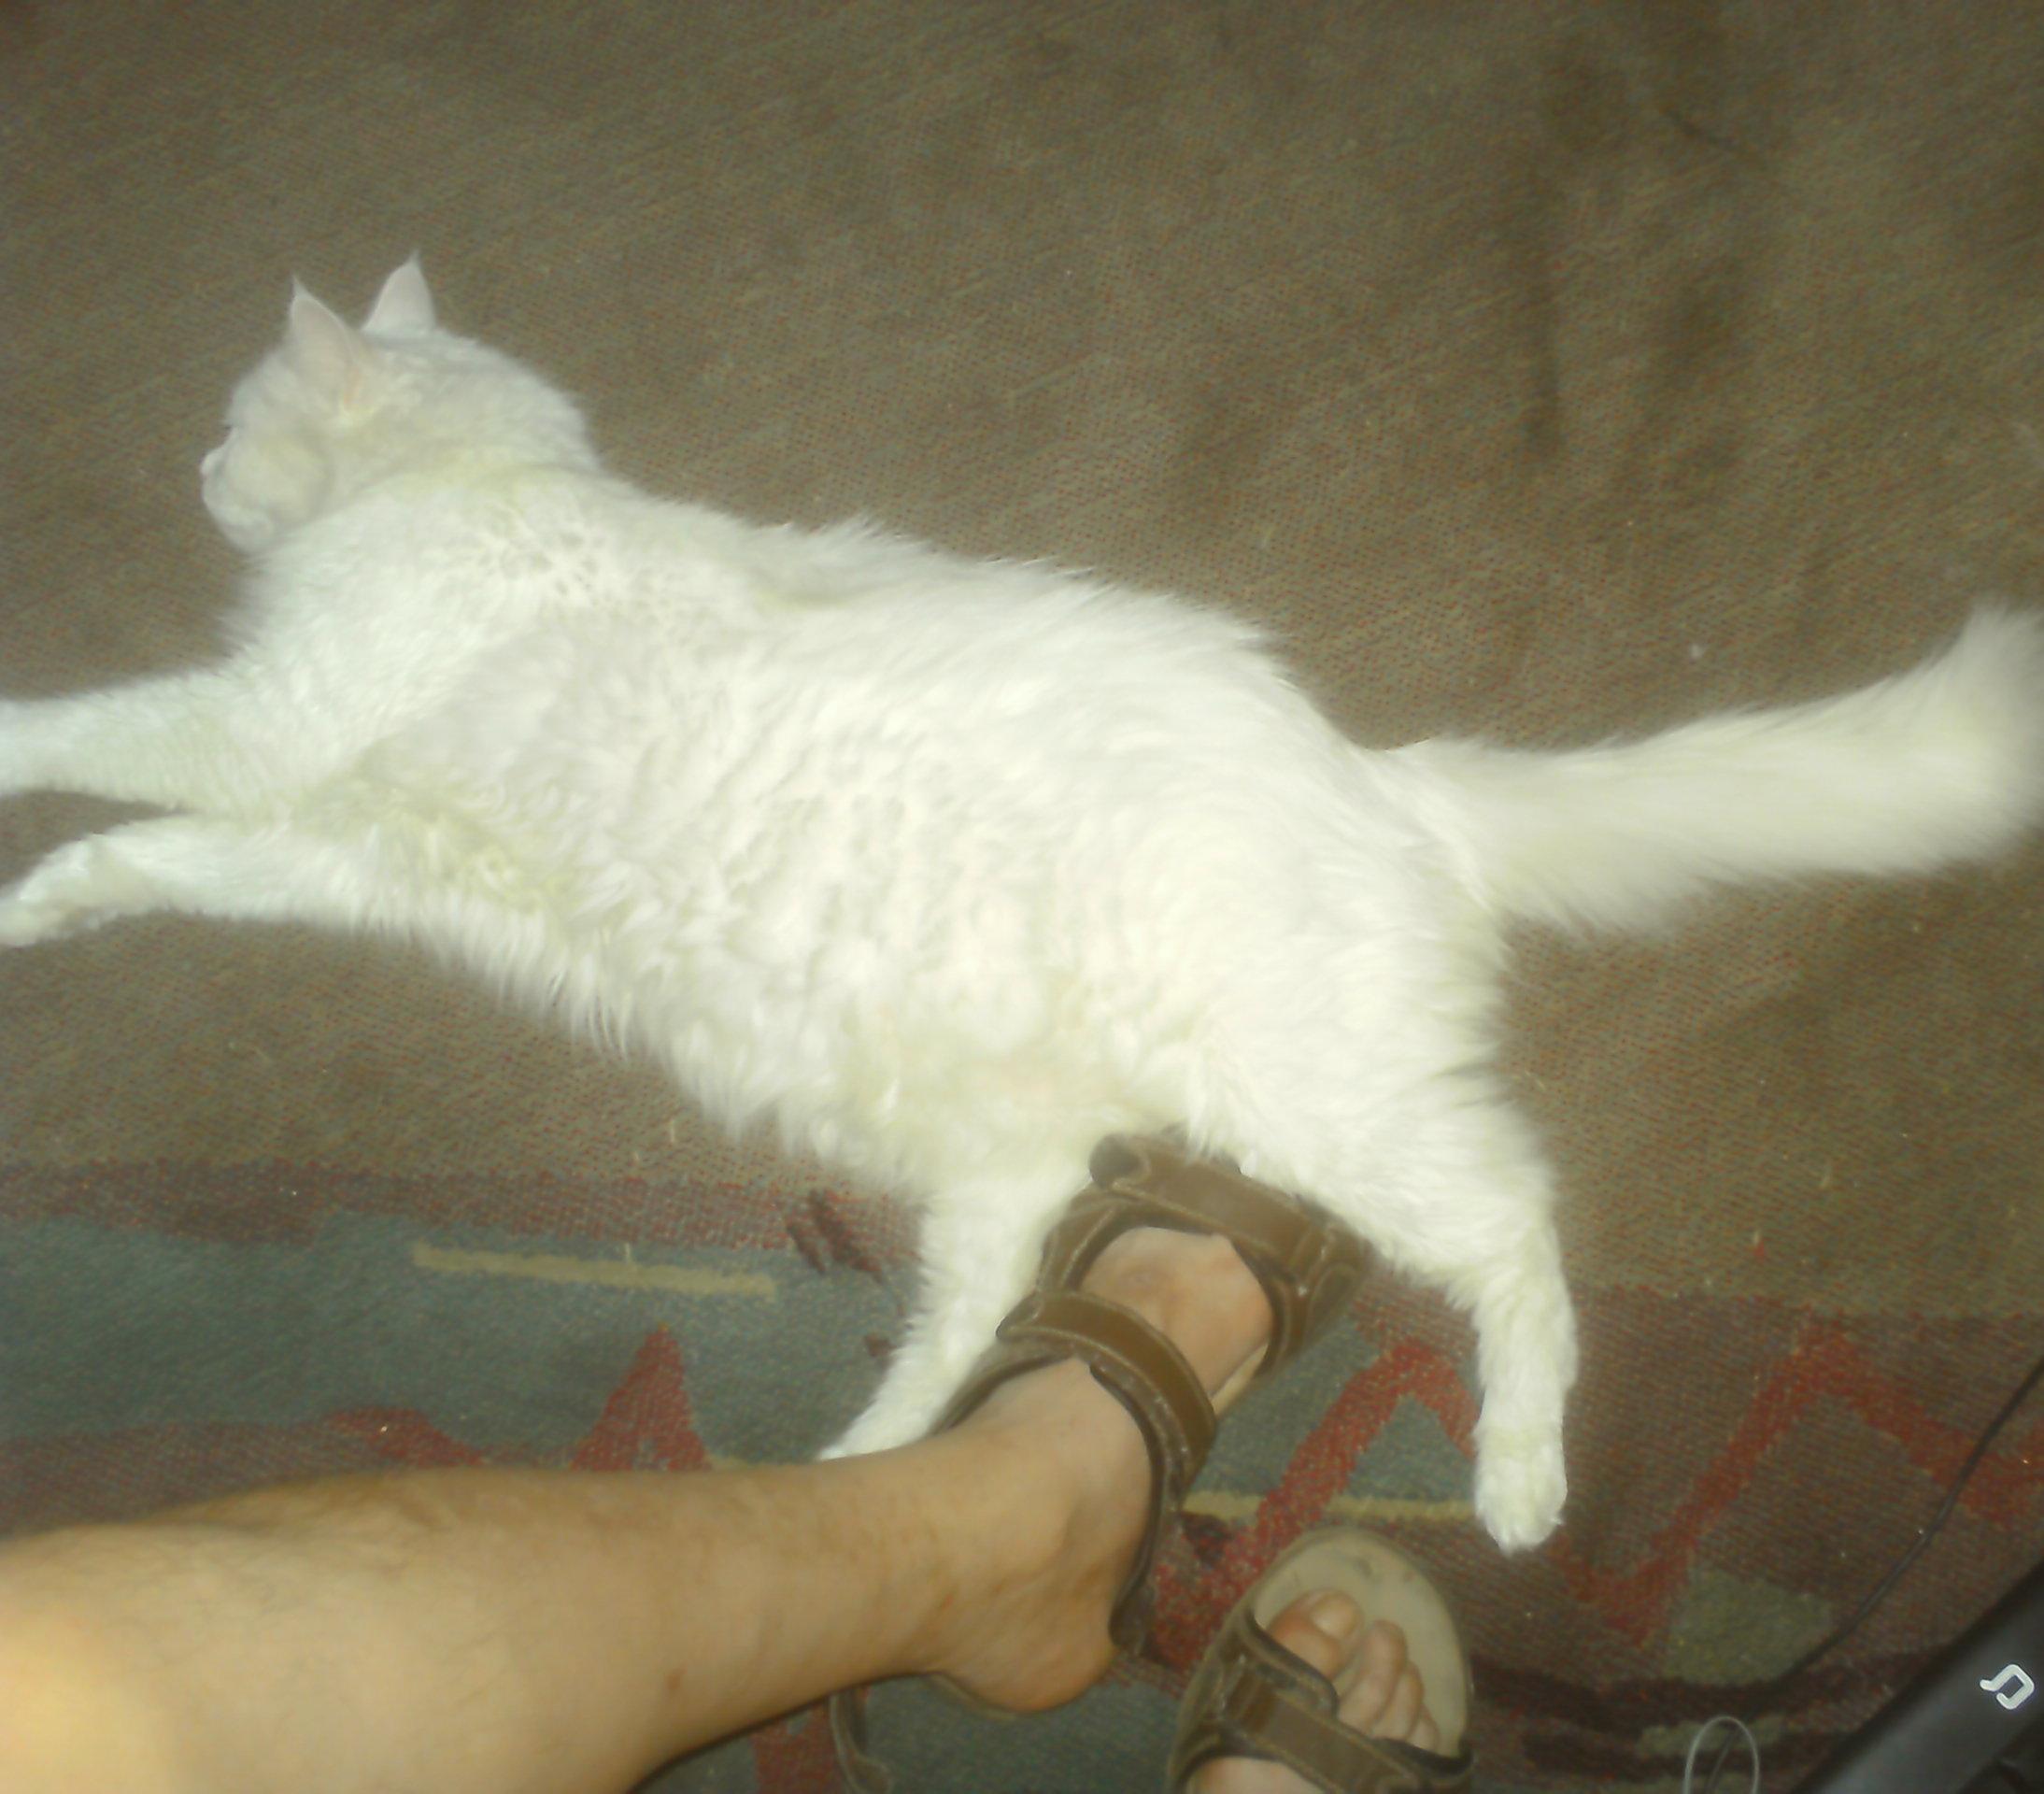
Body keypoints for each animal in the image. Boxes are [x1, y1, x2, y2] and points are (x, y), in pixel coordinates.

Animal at [4, 258, 2040, 1550]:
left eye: (233, 420)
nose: (194, 467)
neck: (478, 485)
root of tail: (1378, 774)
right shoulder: (324, 825)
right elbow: (152, 851)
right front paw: (51, 905)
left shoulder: (264, 724)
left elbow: (95, 732)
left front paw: (22, 786)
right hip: (1001, 1160)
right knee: (972, 1323)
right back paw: (845, 1471)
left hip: (1314, 1107)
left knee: (1517, 1223)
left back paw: (1521, 1482)